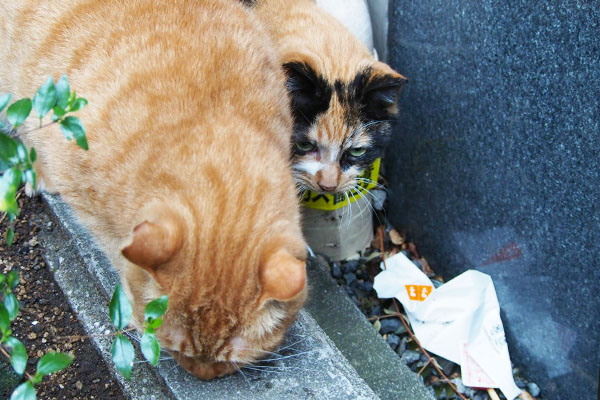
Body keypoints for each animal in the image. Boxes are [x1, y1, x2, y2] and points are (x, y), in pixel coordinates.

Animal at [0, 0, 308, 380]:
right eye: (176, 350)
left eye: (226, 361)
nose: (200, 375)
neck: (212, 112)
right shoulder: (83, 190)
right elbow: (116, 250)